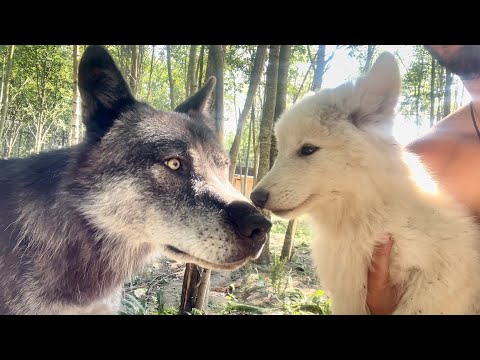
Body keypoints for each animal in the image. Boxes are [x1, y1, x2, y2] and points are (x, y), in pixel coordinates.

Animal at [249, 52, 480, 314]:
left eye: (307, 149)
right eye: (281, 150)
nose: (255, 197)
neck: (366, 222)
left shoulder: (439, 284)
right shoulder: (348, 294)